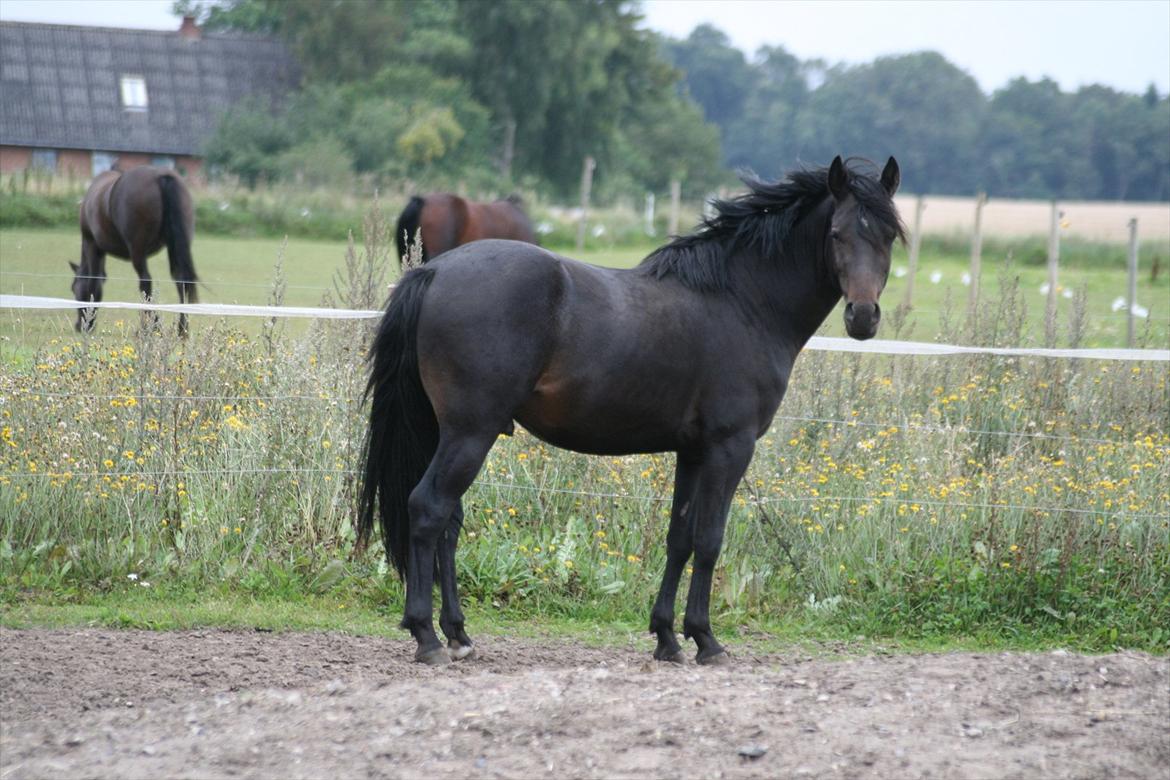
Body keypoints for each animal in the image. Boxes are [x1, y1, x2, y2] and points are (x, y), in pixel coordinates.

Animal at [69, 164, 197, 336]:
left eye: (74, 288)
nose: (79, 325)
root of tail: (160, 176)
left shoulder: (92, 245)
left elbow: (93, 282)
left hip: (137, 251)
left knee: (146, 281)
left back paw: (151, 326)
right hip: (175, 246)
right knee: (181, 280)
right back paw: (182, 329)